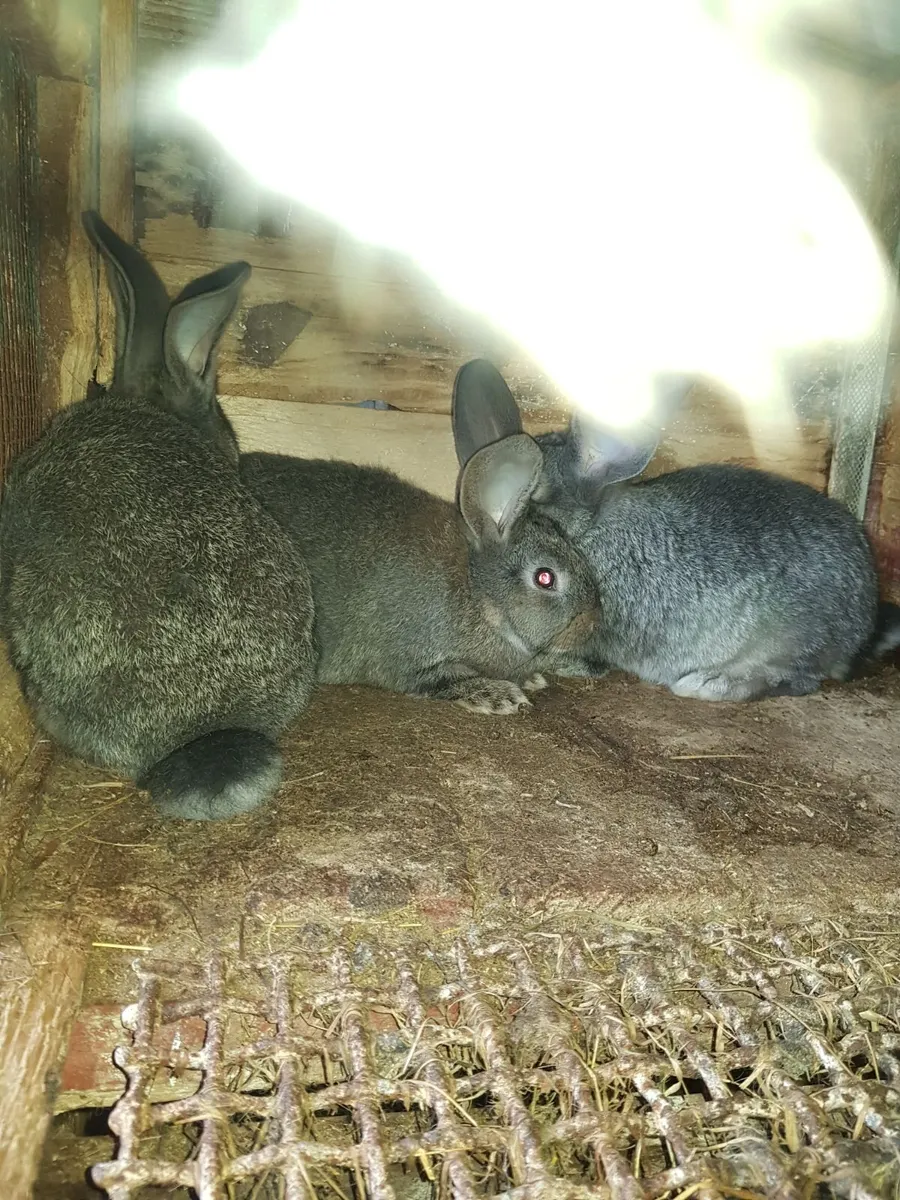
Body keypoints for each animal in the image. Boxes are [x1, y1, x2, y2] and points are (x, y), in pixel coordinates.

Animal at [240, 364, 600, 715]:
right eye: (545, 578)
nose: (591, 623)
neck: (477, 593)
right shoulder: (409, 661)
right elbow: (442, 680)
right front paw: (500, 696)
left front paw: (530, 679)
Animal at [451, 359, 900, 702]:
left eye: (537, 496)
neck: (591, 534)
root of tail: (866, 618)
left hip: (790, 637)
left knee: (798, 679)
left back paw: (710, 684)